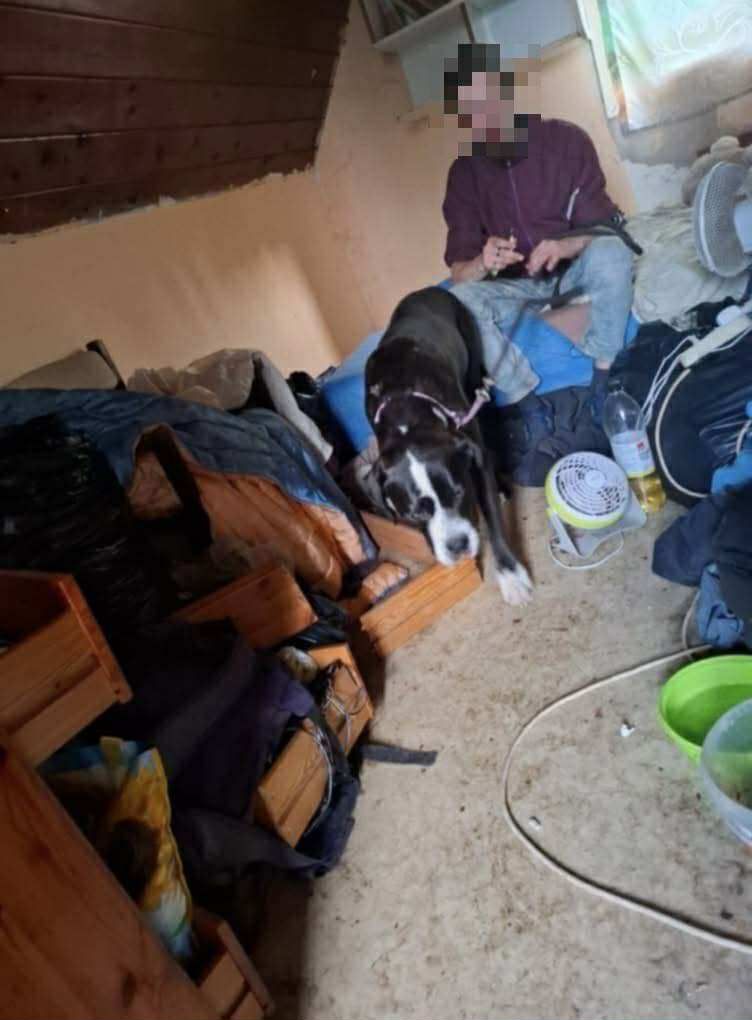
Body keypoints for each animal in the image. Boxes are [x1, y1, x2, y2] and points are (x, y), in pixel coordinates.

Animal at [365, 286, 533, 606]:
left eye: (458, 493)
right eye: (414, 514)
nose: (458, 545)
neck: (405, 412)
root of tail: (426, 290)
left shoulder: (475, 459)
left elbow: (493, 518)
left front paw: (510, 575)